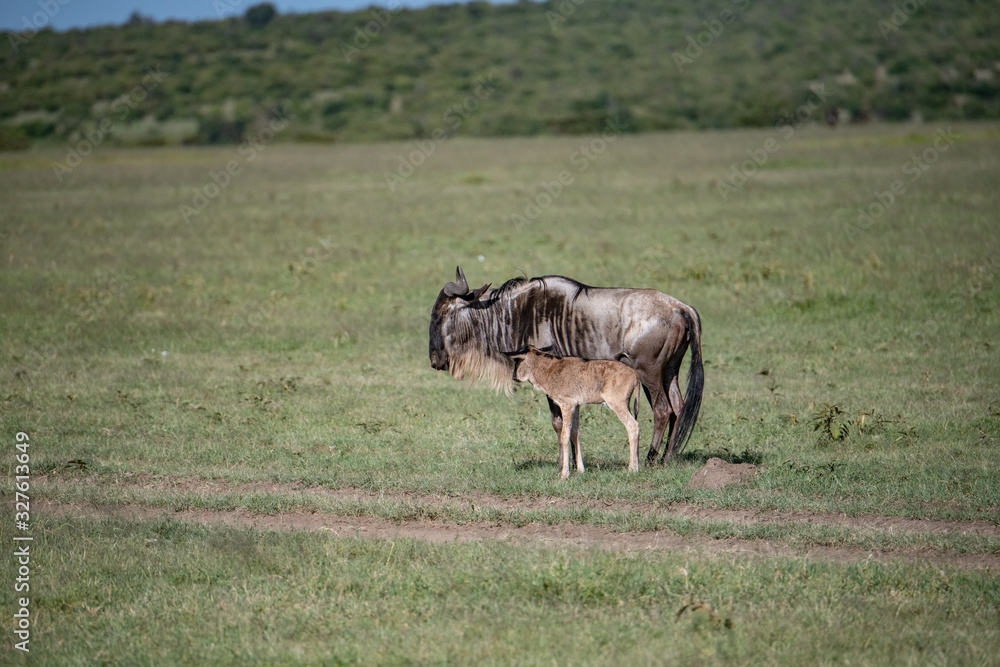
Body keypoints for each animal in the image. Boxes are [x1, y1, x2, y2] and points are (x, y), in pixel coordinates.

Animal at [428, 266, 703, 465]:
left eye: (439, 316)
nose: (434, 360)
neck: (520, 312)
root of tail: (681, 307)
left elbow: (559, 423)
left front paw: (564, 464)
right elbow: (571, 425)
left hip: (649, 372)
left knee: (662, 410)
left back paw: (650, 459)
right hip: (670, 371)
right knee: (678, 407)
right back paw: (668, 458)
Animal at [504, 346, 641, 478]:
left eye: (517, 360)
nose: (513, 376)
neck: (549, 370)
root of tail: (635, 374)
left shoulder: (567, 404)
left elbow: (565, 435)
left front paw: (564, 474)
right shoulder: (576, 405)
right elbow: (575, 433)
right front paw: (580, 470)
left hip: (617, 404)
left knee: (633, 425)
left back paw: (633, 470)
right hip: (626, 404)